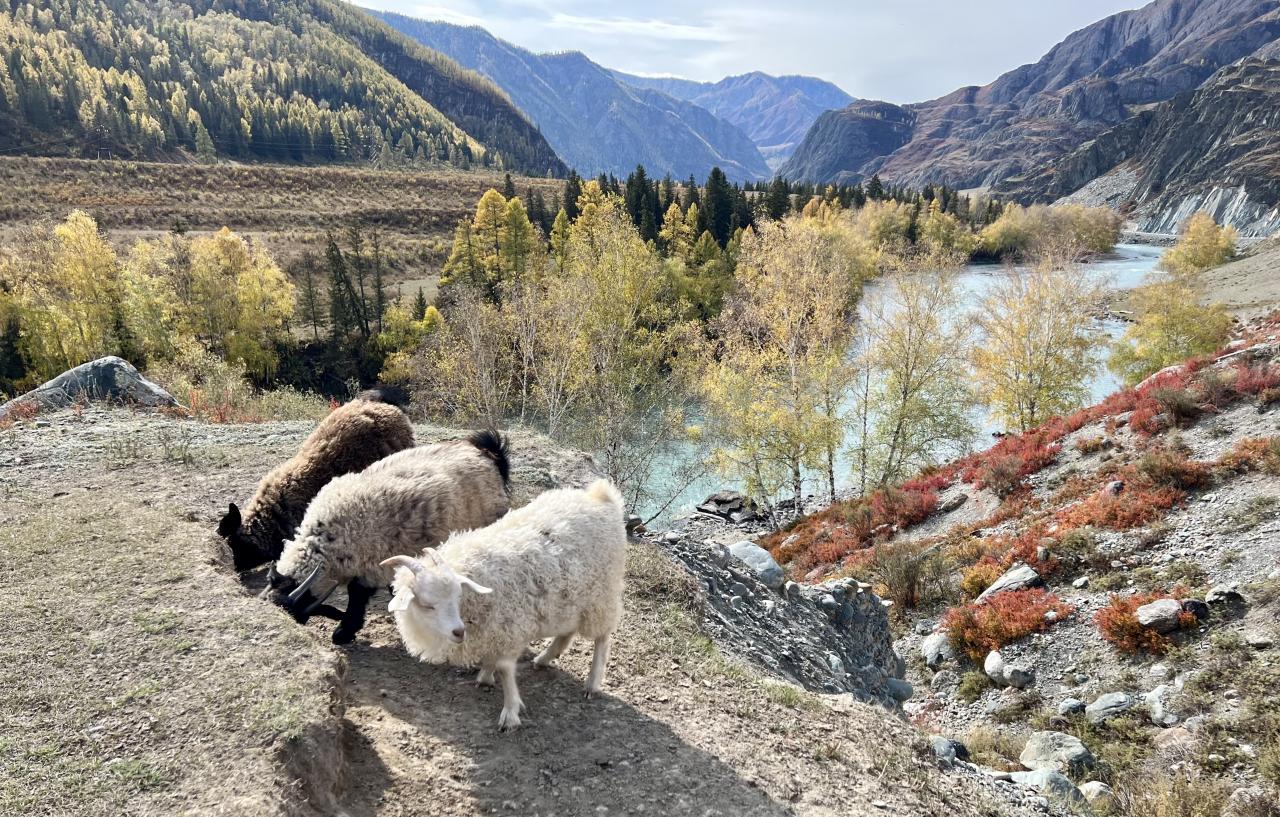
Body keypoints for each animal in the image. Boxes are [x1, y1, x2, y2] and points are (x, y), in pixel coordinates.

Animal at [268, 430, 512, 644]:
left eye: (293, 608)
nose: (297, 625)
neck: (327, 539)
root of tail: (488, 455)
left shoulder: (371, 565)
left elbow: (357, 596)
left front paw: (344, 632)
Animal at [381, 479, 627, 730]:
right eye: (428, 604)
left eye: (458, 597)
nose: (459, 632)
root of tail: (602, 497)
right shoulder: (493, 628)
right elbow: (492, 659)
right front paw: (485, 677)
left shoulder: (509, 626)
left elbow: (505, 669)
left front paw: (510, 712)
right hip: (571, 597)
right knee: (567, 632)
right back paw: (544, 659)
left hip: (601, 595)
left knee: (602, 638)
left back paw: (592, 683)